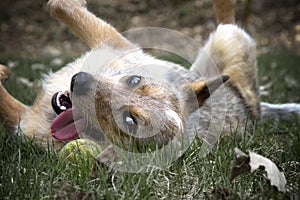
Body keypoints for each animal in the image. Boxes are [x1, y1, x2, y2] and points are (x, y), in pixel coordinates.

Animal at [0, 0, 298, 152]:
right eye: (134, 80)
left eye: (130, 120)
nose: (78, 81)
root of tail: (252, 111)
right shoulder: (118, 43)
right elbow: (63, 8)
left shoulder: (22, 125)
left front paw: (2, 72)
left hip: (230, 38)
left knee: (227, 19)